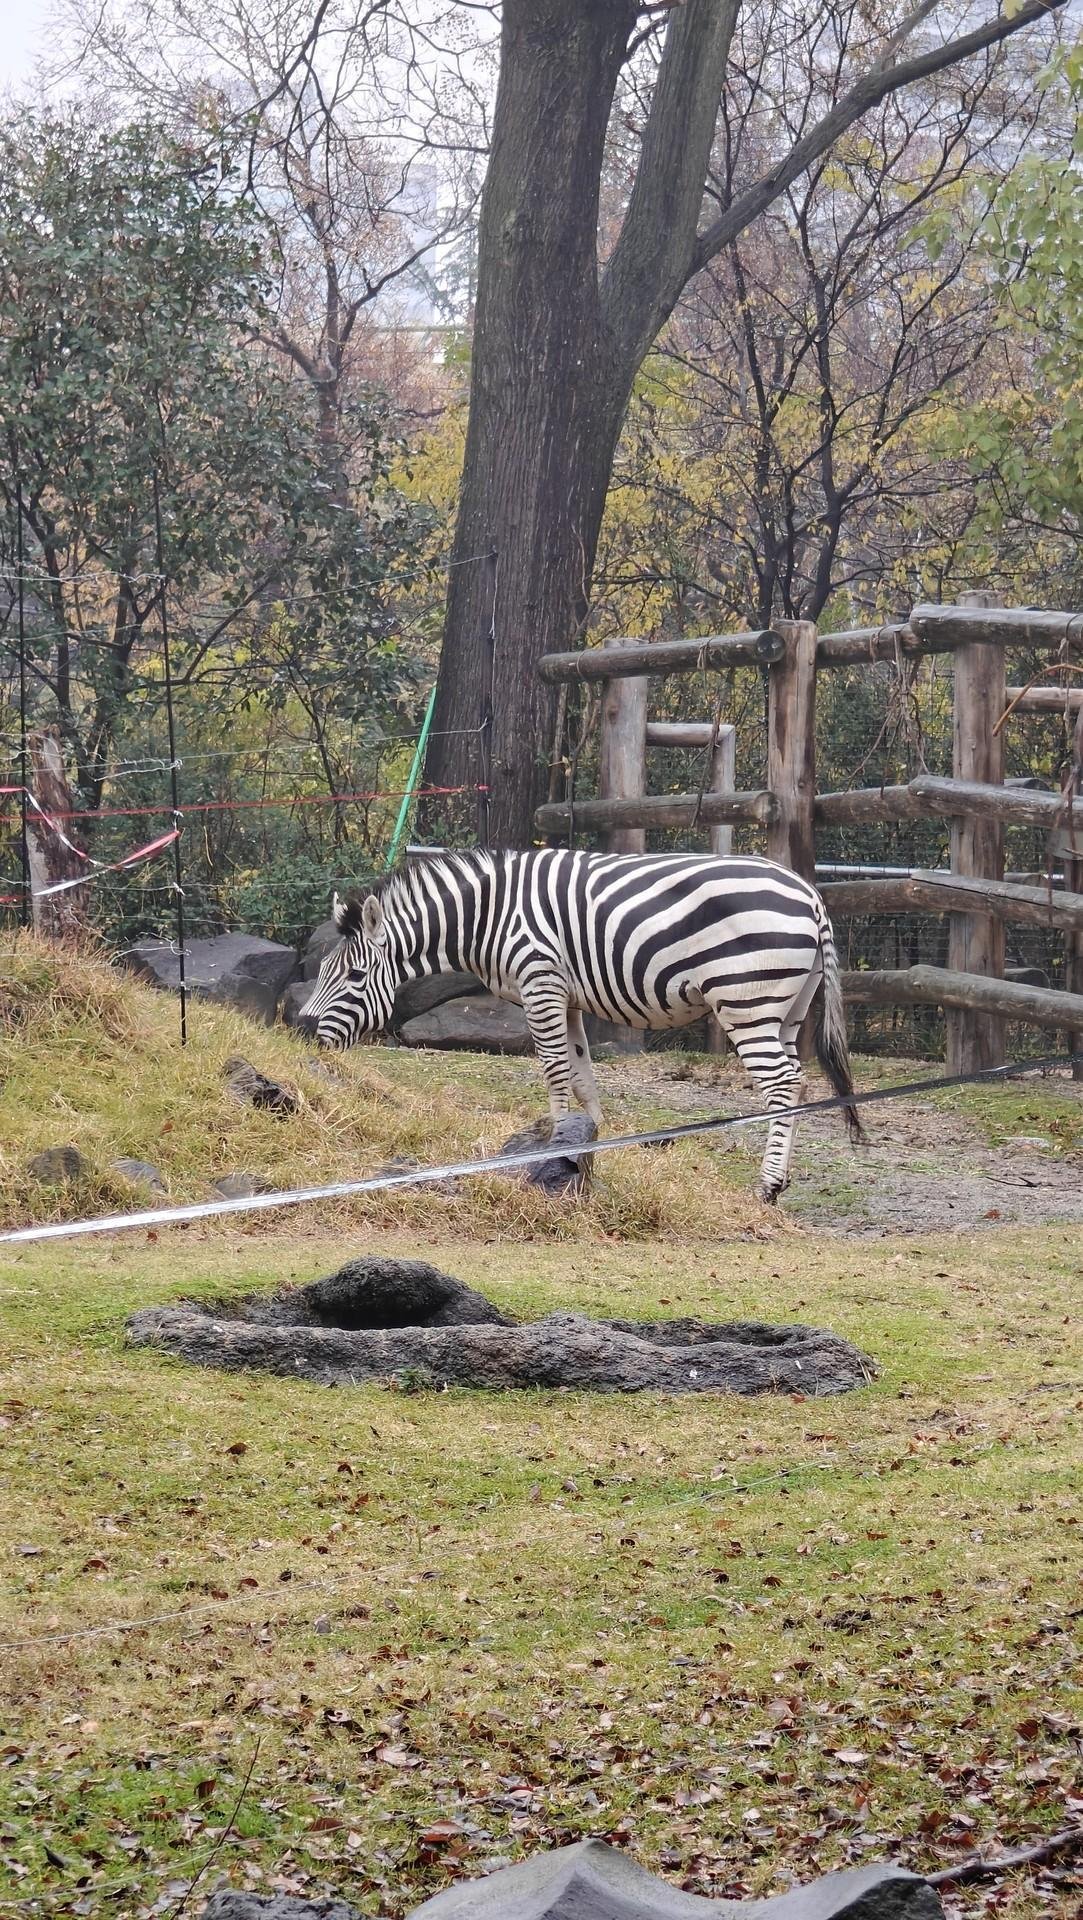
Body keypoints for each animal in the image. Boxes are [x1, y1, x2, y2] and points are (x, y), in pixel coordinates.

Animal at [297, 849, 862, 1202]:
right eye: (321, 971)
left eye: (353, 976)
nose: (301, 1032)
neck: (486, 917)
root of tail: (811, 896)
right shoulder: (566, 996)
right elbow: (582, 1075)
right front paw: (588, 1147)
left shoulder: (539, 982)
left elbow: (552, 1070)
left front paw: (549, 1149)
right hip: (787, 1006)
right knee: (798, 1079)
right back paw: (780, 1181)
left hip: (746, 998)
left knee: (781, 1084)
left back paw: (768, 1187)